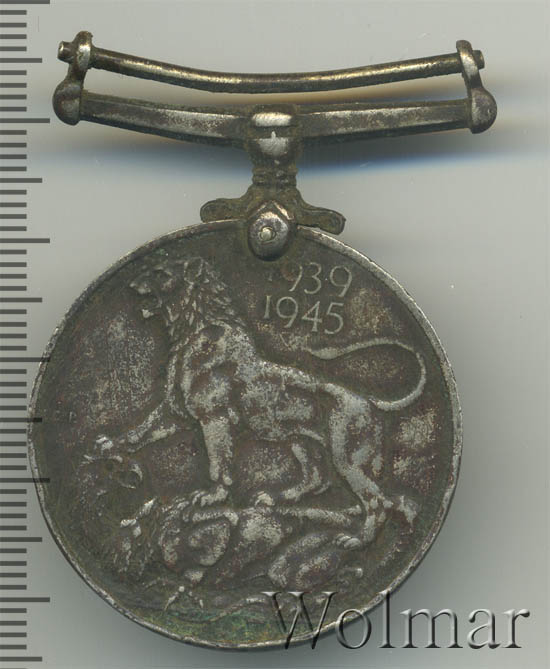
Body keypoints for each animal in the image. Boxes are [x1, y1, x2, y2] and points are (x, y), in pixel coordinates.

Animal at [99, 256, 425, 549]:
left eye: (161, 273)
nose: (131, 285)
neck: (191, 331)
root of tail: (368, 399)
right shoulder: (176, 412)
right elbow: (142, 429)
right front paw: (112, 443)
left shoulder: (213, 416)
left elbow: (218, 463)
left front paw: (212, 496)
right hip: (300, 440)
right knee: (319, 478)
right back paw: (278, 498)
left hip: (346, 456)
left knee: (378, 500)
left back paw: (358, 539)